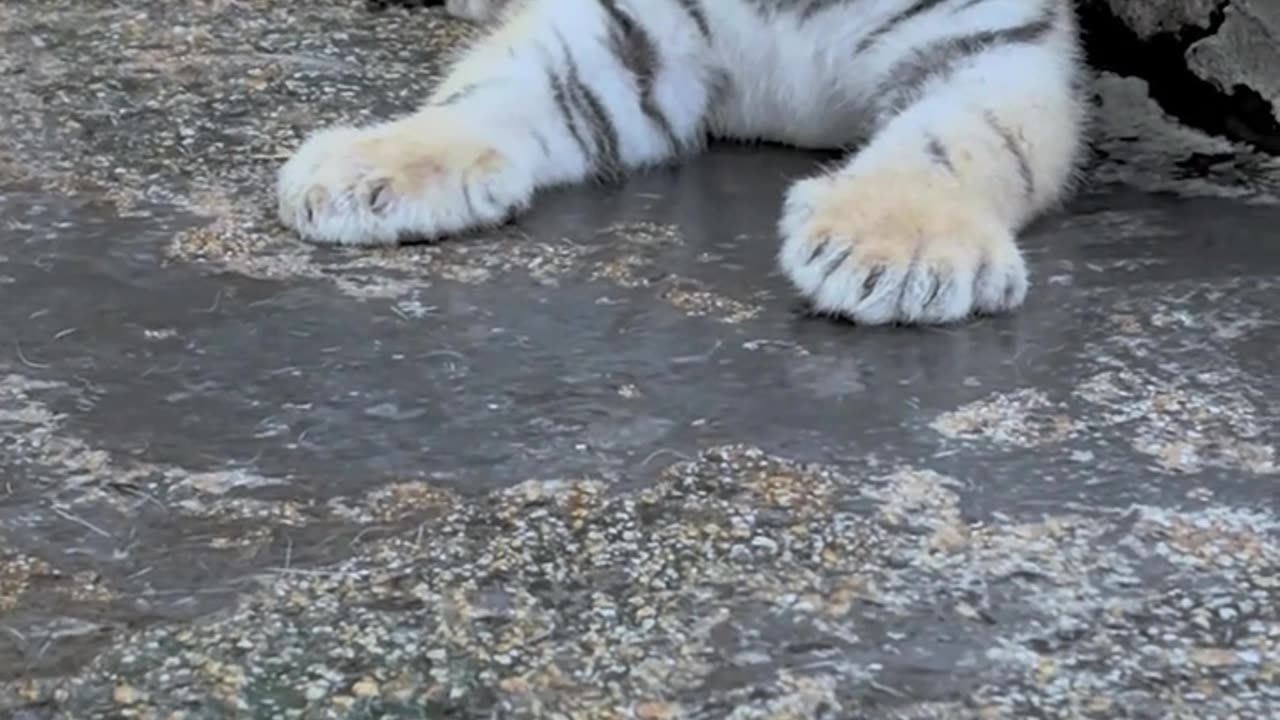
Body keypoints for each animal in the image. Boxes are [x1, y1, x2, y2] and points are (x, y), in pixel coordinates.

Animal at [277, 0, 1086, 325]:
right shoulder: (622, 34)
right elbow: (496, 84)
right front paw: (367, 166)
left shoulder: (993, 50)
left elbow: (953, 141)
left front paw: (897, 246)